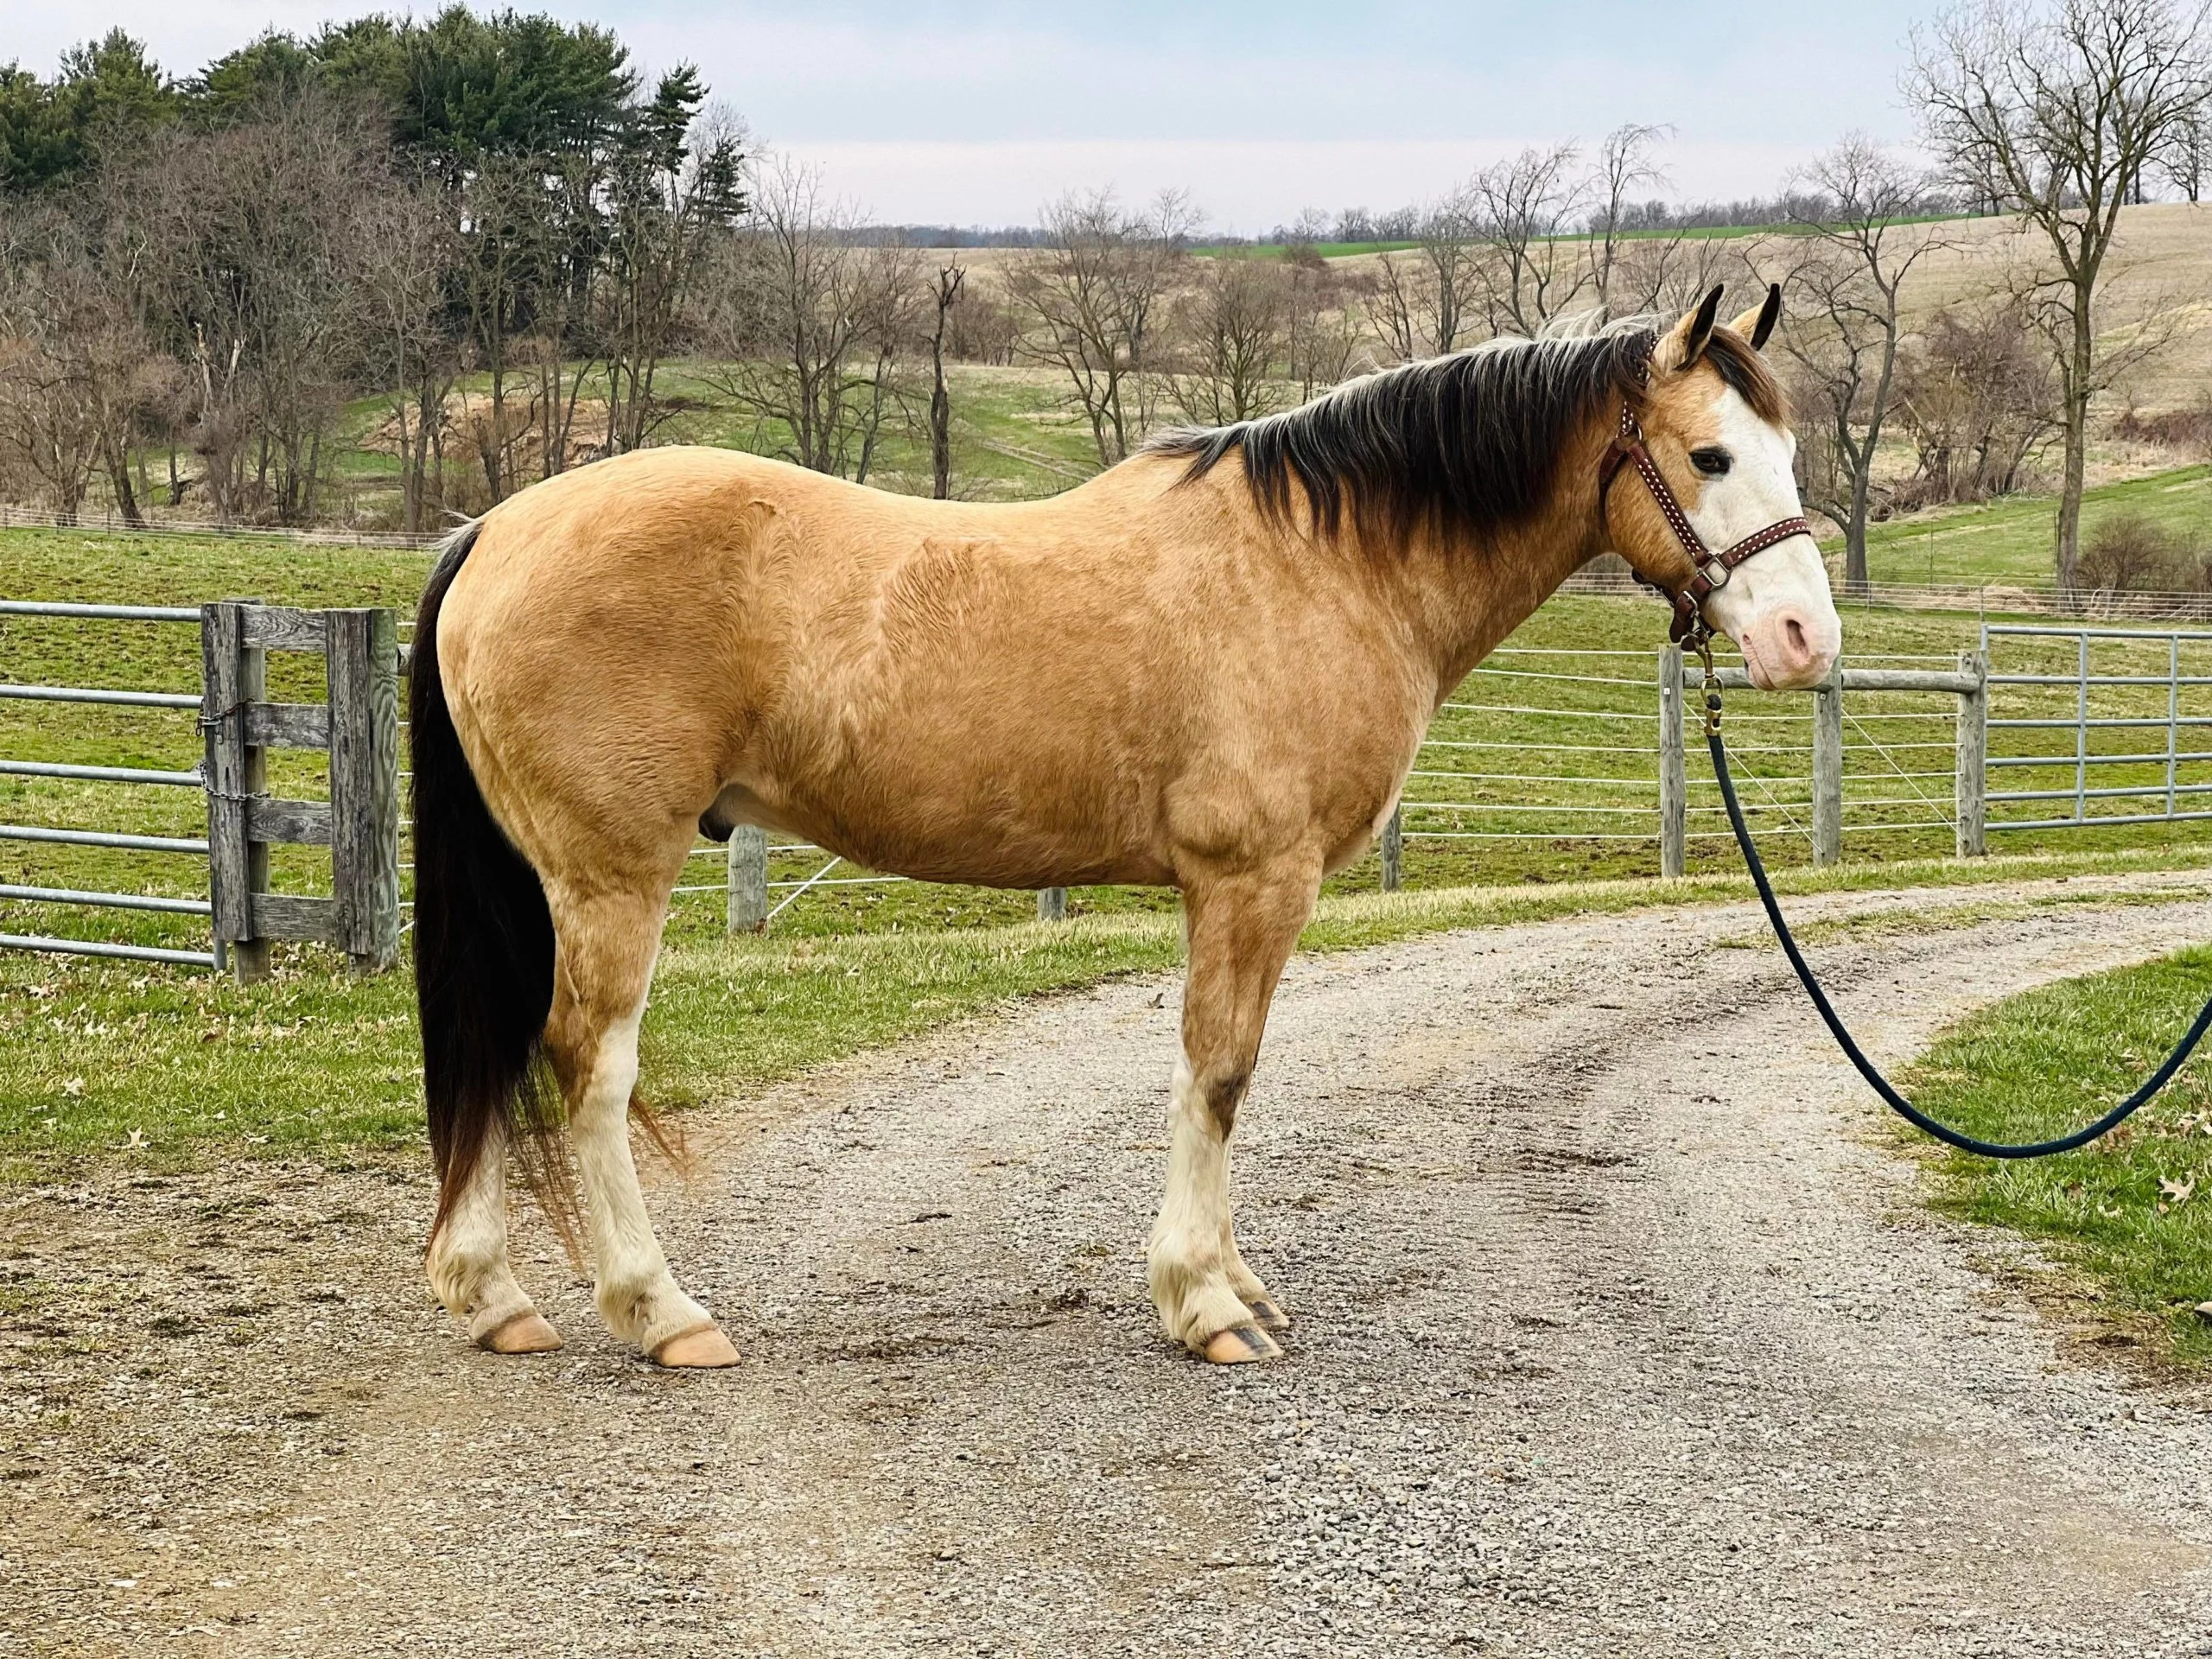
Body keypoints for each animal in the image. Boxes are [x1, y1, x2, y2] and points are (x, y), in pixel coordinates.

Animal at [409, 284, 1842, 1370]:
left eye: (1782, 452)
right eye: (1710, 456)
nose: (1802, 640)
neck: (1326, 562)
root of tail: (493, 530)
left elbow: (1224, 1080)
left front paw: (1235, 1284)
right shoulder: (1251, 881)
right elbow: (1219, 1075)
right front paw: (1205, 1304)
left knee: (496, 1047)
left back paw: (497, 1300)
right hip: (612, 874)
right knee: (586, 1064)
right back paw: (661, 1314)